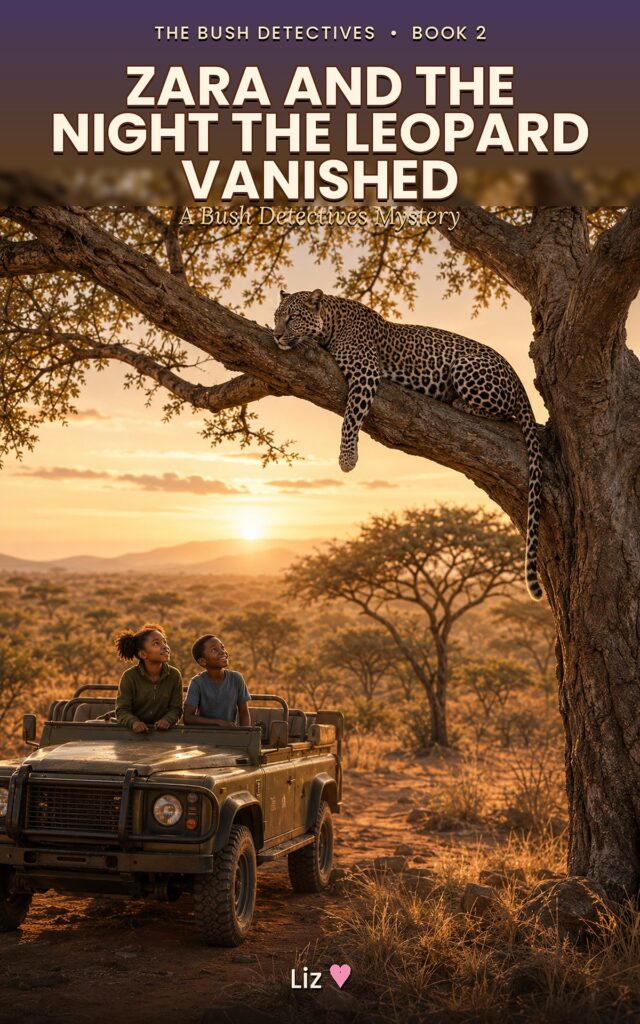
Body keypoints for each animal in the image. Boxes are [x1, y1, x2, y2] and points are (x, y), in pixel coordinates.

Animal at [273, 288, 543, 600]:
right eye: (276, 316)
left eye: (292, 317)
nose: (276, 335)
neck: (332, 321)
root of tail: (520, 383)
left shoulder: (366, 372)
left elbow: (351, 417)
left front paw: (347, 459)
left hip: (466, 365)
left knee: (503, 413)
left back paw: (458, 402)